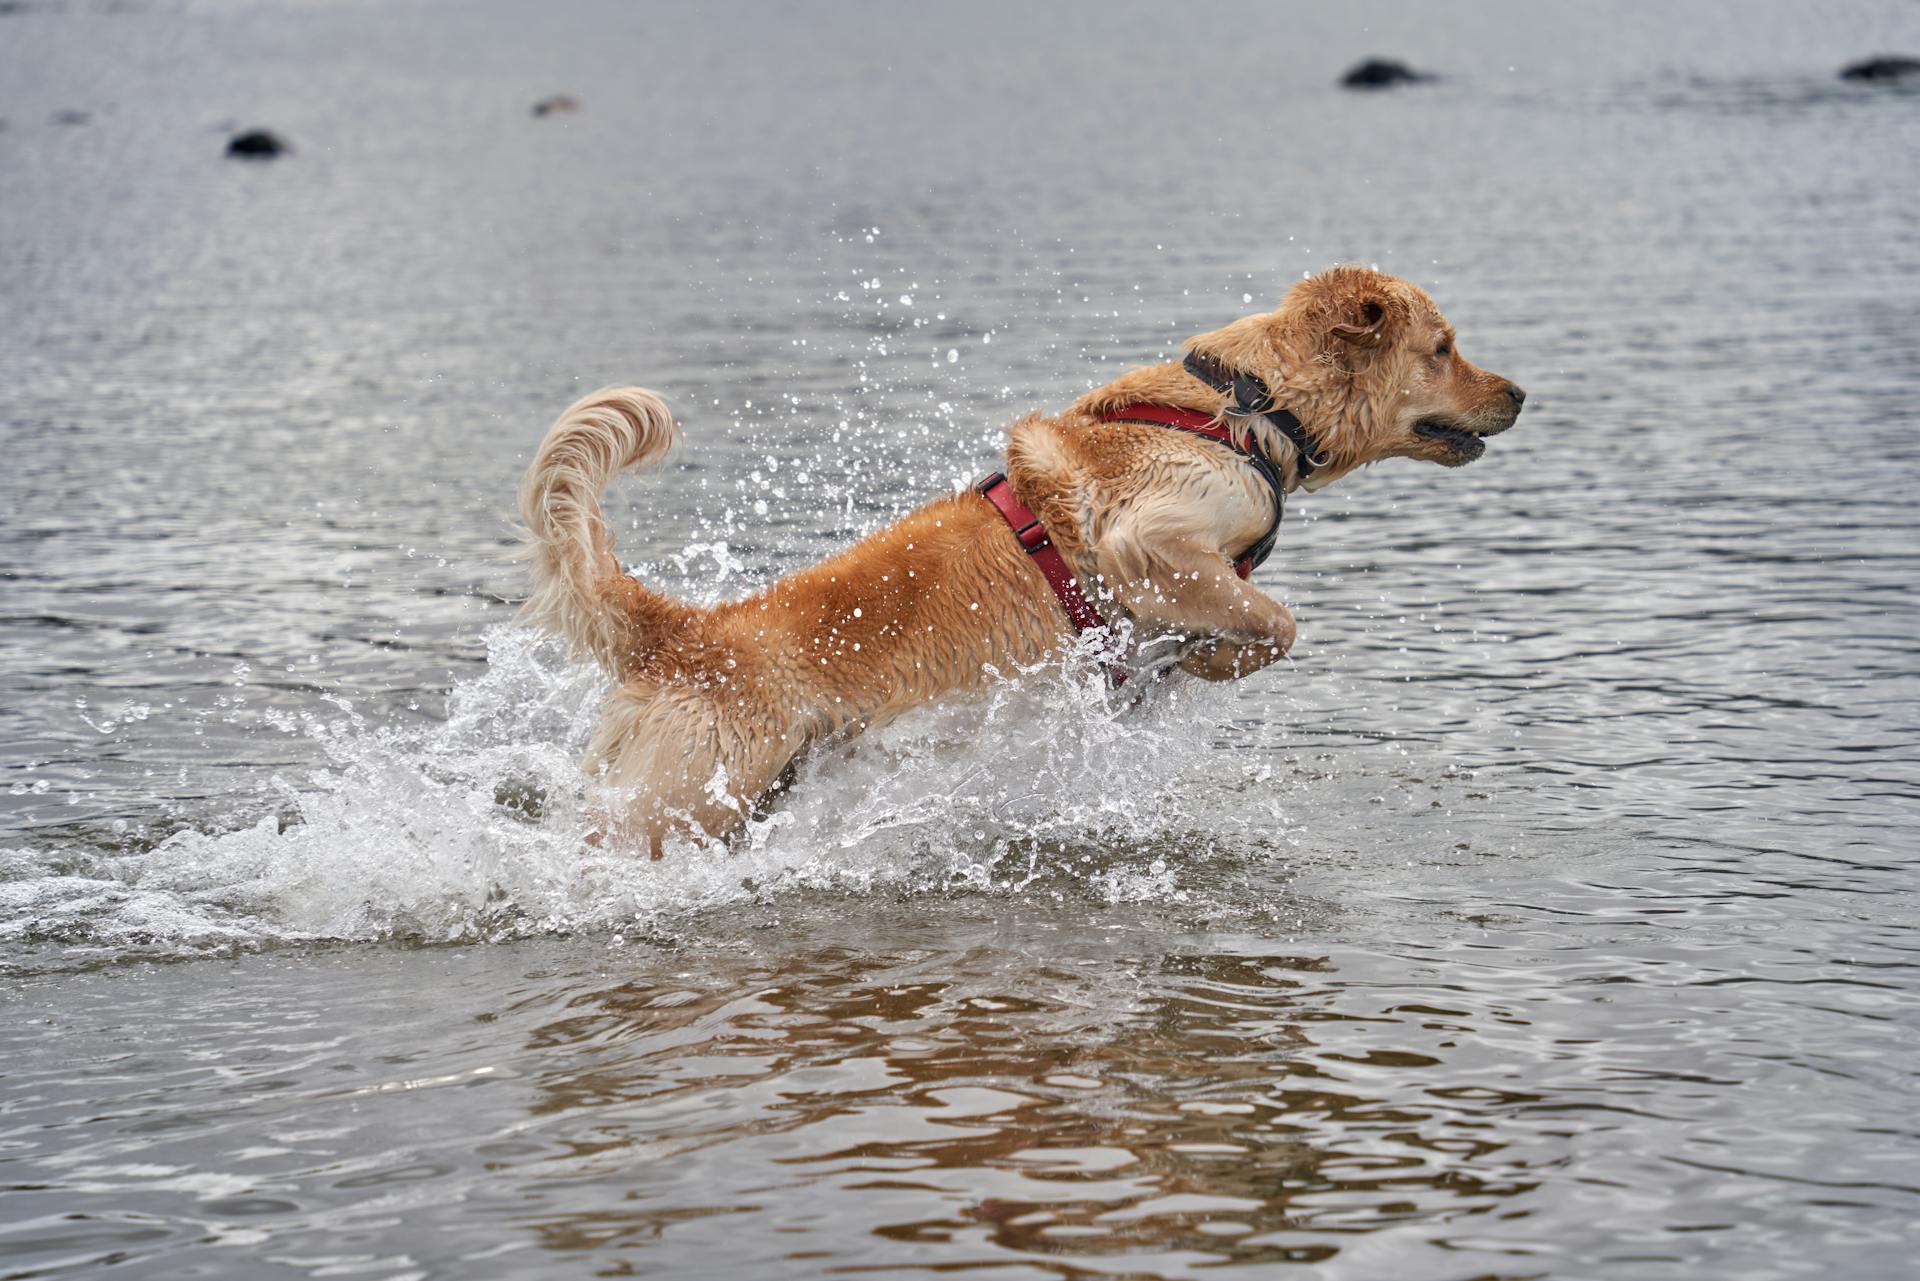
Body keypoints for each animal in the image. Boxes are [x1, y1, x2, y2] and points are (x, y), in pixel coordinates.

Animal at [518, 265, 1520, 856]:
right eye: (1442, 348)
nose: (1518, 394)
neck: (1247, 406)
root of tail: (679, 632)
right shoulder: (1146, 540)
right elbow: (1274, 621)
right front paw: (1203, 659)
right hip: (678, 801)